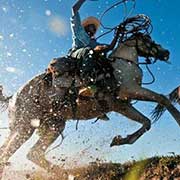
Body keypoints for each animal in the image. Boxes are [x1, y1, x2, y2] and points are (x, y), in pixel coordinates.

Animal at [0, 31, 179, 176]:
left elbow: (149, 118)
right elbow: (158, 103)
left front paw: (120, 140)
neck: (121, 65)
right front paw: (177, 118)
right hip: (26, 128)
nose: (166, 52)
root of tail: (13, 97)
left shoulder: (124, 103)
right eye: (148, 39)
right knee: (14, 153)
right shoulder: (128, 93)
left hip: (51, 125)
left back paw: (65, 173)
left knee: (28, 153)